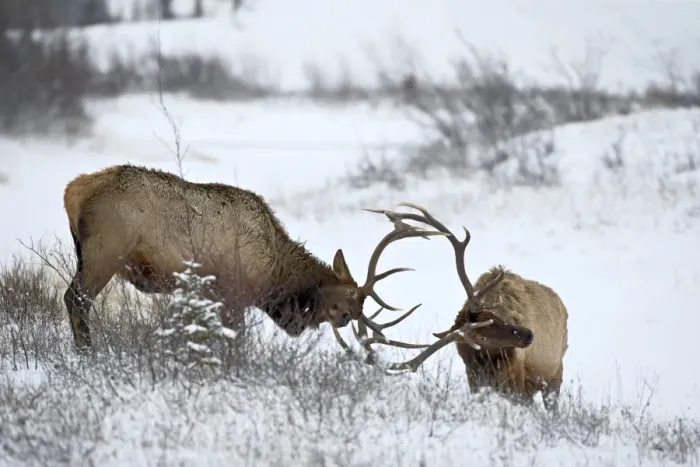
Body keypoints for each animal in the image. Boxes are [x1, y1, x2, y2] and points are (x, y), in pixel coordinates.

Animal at [61, 164, 450, 351]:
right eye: (351, 295)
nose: (347, 318)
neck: (274, 274)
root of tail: (73, 189)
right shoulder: (233, 293)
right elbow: (237, 339)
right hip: (106, 251)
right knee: (75, 298)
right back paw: (88, 354)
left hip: (85, 252)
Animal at [356, 202, 569, 411]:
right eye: (482, 336)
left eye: (495, 317)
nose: (528, 335)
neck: (487, 363)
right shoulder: (476, 381)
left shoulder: (517, 383)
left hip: (554, 375)